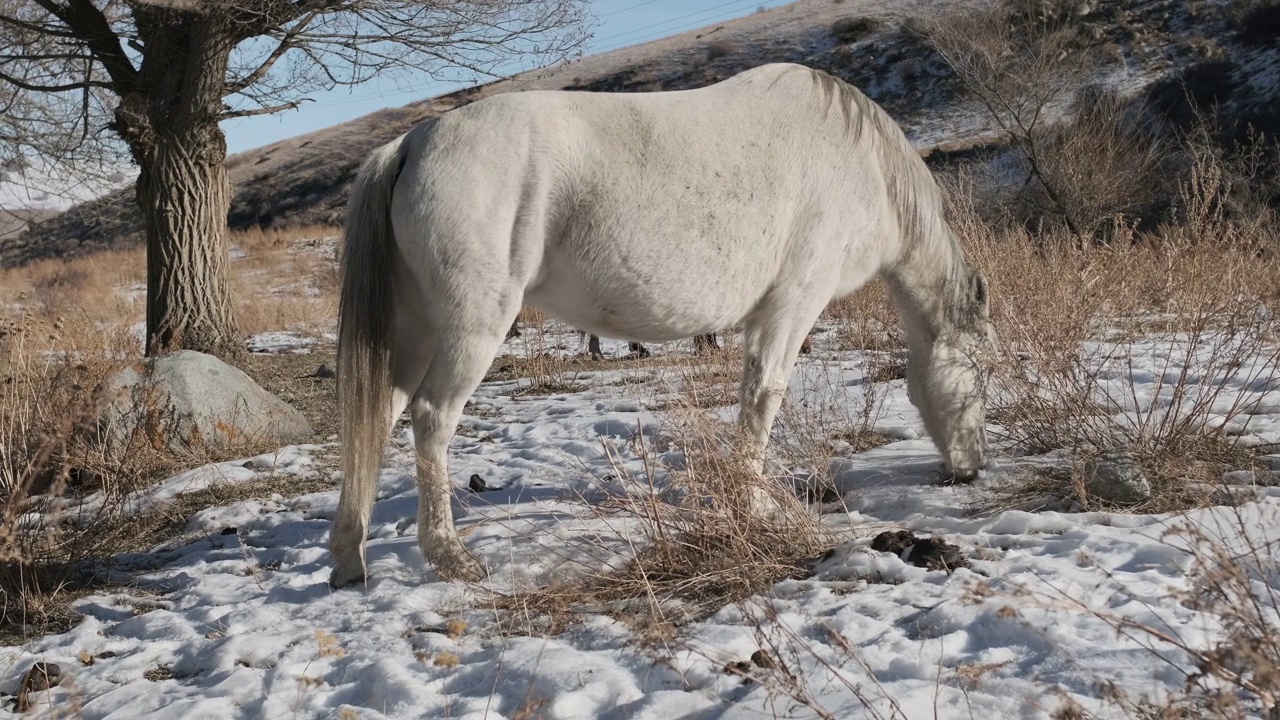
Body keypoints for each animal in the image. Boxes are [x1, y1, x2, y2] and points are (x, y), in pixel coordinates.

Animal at [335, 64, 993, 586]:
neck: (864, 167)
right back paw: (449, 556)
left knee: (377, 415)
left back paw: (349, 560)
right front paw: (756, 507)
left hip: (416, 329)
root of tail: (410, 145)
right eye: (981, 375)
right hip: (471, 327)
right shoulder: (793, 303)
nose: (972, 469)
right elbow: (764, 397)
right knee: (430, 419)